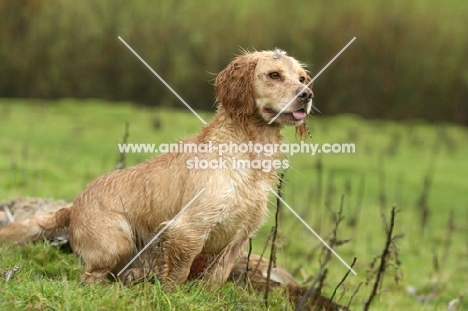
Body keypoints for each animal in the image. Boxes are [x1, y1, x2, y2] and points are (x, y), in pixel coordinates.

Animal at [0, 48, 314, 290]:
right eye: (274, 75)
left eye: (301, 77)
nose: (307, 94)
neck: (248, 152)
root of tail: (74, 205)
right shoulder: (187, 229)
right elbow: (178, 274)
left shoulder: (239, 237)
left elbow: (215, 279)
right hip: (117, 242)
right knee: (90, 277)